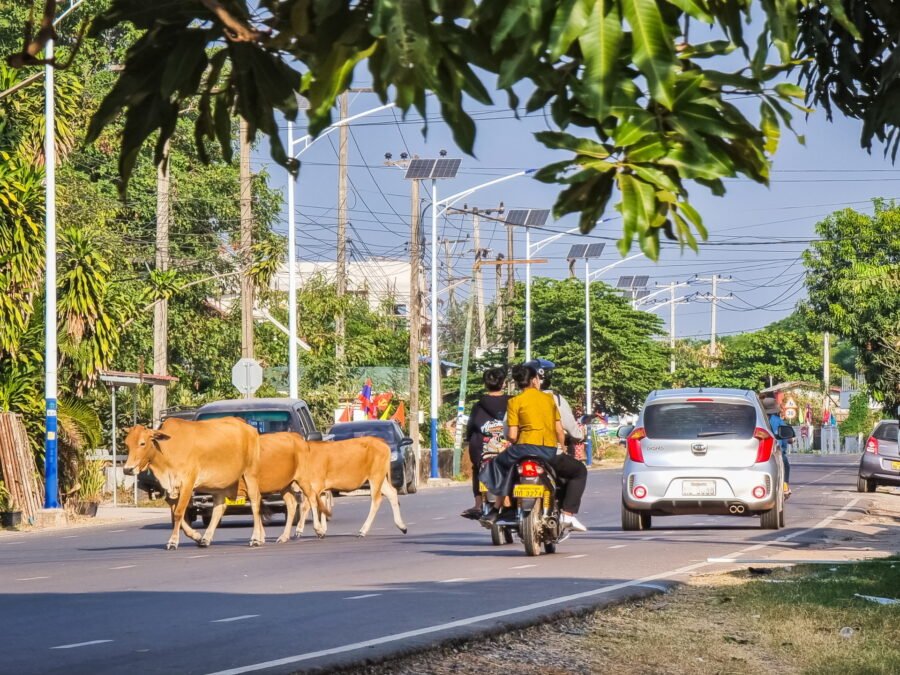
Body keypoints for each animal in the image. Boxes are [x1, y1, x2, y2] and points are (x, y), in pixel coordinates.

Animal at [123, 420, 264, 552]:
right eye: (127, 444)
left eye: (142, 443)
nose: (127, 469)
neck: (167, 451)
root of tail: (250, 429)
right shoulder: (170, 489)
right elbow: (177, 514)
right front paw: (197, 536)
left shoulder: (187, 483)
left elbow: (178, 513)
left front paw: (173, 541)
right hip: (219, 485)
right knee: (219, 507)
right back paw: (206, 539)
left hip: (250, 473)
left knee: (255, 501)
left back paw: (256, 538)